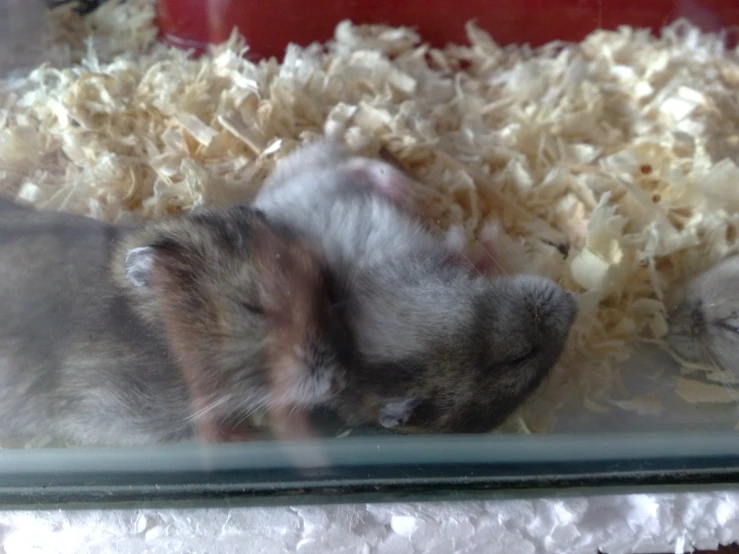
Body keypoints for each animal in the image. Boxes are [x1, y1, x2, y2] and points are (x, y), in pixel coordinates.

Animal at [254, 138, 580, 432]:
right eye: (518, 356)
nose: (573, 301)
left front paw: (481, 231)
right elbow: (464, 252)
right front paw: (484, 230)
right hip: (318, 187)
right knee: (352, 167)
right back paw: (401, 187)